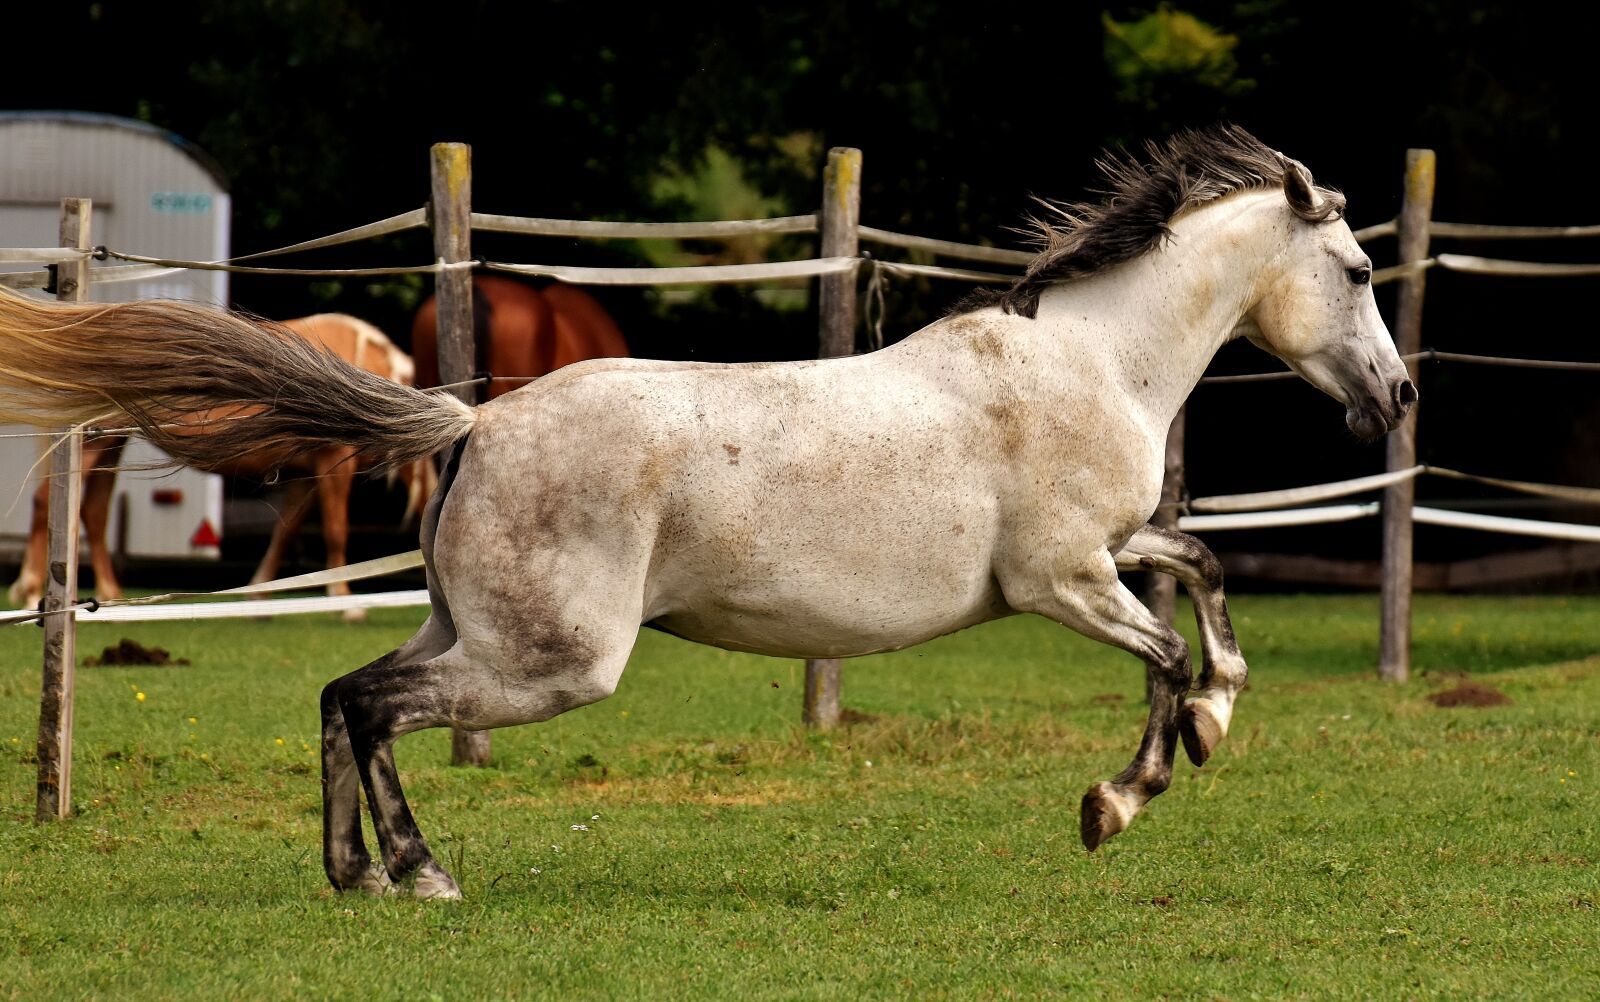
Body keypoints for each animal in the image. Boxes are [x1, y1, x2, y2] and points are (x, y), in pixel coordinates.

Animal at [5, 313, 435, 621]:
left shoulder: (302, 476)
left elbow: (285, 531)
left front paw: (259, 596)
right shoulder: (332, 467)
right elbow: (334, 532)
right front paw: (348, 604)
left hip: (110, 445)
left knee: (92, 512)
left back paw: (108, 595)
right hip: (94, 444)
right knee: (48, 504)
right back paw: (32, 589)